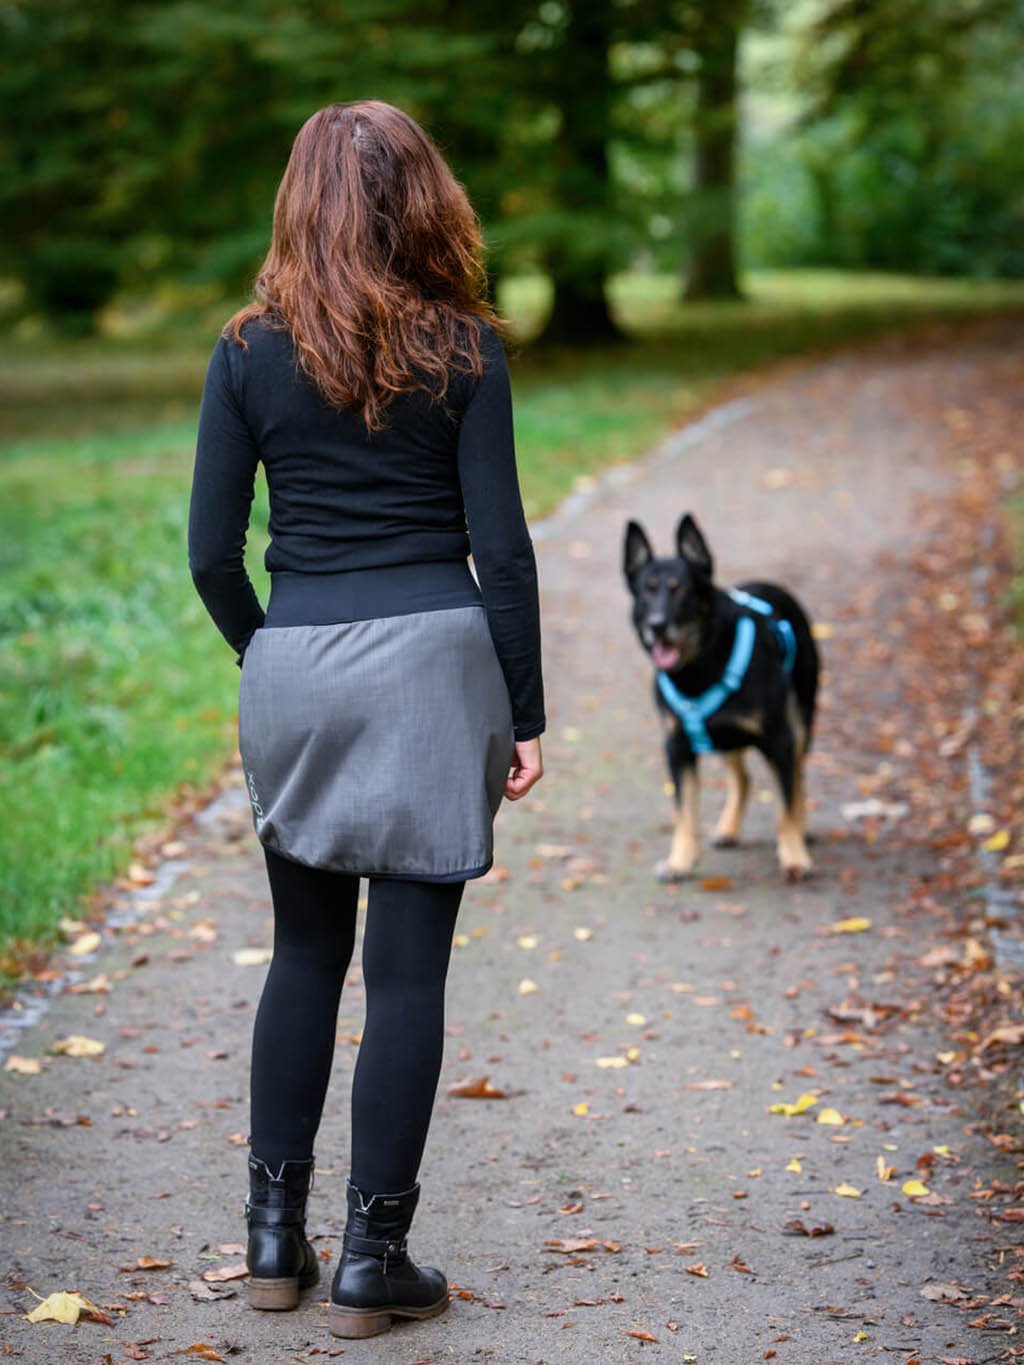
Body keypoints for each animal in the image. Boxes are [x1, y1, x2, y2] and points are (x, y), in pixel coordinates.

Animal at [625, 513, 819, 884]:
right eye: (646, 591)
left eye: (682, 590)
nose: (657, 625)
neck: (700, 669)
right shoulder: (677, 748)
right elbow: (685, 813)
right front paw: (680, 861)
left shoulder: (779, 739)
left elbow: (786, 804)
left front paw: (793, 855)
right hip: (727, 740)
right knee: (743, 779)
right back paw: (728, 829)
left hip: (801, 723)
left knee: (799, 778)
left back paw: (803, 828)